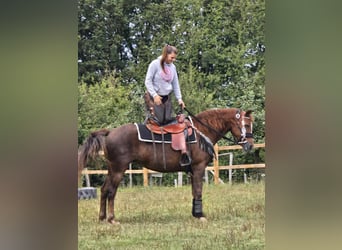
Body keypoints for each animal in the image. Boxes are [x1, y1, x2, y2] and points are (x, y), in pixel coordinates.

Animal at [78, 107, 254, 223]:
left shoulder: (192, 171)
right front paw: (200, 215)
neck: (201, 132)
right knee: (111, 191)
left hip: (112, 169)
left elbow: (194, 191)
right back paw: (112, 219)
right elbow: (198, 191)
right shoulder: (198, 168)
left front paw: (195, 213)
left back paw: (102, 218)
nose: (250, 145)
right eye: (246, 125)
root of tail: (109, 133)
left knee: (103, 190)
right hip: (118, 169)